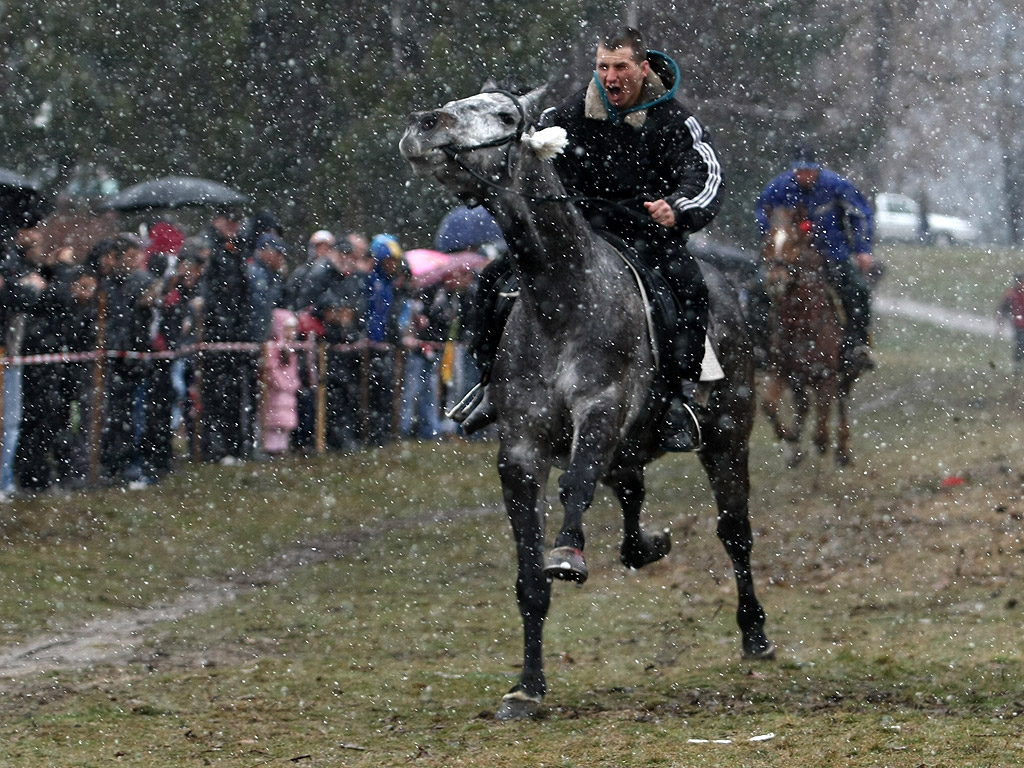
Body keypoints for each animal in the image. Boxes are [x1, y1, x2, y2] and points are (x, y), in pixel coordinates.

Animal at [395, 87, 770, 720]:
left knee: (733, 528)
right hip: (636, 444)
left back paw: (755, 632)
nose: (425, 124)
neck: (561, 299)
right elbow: (530, 578)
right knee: (631, 491)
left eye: (504, 115)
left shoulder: (600, 412)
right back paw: (646, 545)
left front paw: (568, 552)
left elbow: (576, 483)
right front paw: (527, 686)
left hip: (726, 432)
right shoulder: (521, 450)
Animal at [757, 207, 851, 466]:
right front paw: (790, 439)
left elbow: (821, 426)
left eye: (794, 243)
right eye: (768, 243)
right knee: (803, 405)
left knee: (841, 402)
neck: (800, 323)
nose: (776, 279)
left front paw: (821, 444)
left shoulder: (827, 377)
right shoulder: (781, 370)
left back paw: (842, 450)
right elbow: (769, 405)